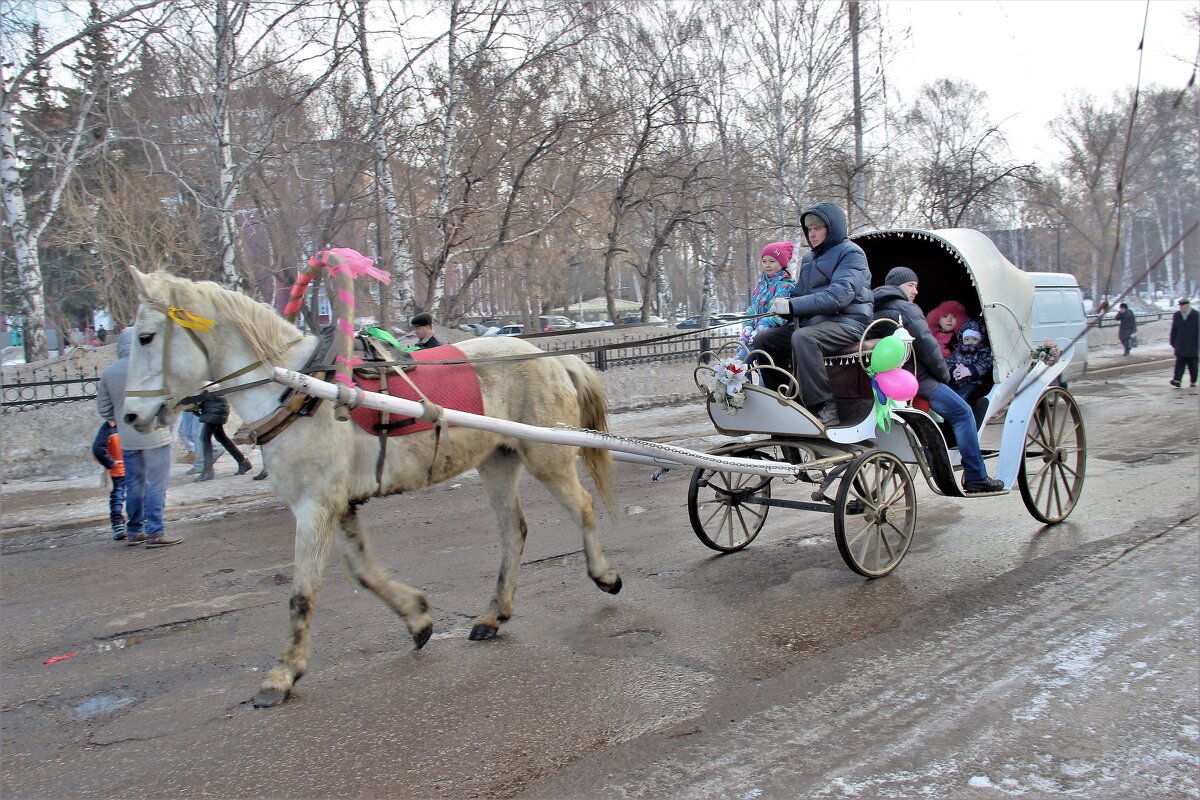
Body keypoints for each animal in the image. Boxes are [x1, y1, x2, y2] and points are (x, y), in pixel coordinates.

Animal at [123, 268, 624, 705]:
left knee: (582, 505)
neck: (302, 390)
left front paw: (283, 672)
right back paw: (493, 613)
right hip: (498, 461)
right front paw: (417, 617)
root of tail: (556, 359)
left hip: (546, 455)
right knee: (513, 531)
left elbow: (302, 592)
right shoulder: (338, 505)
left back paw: (604, 574)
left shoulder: (315, 506)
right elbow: (365, 573)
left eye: (146, 336)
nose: (129, 417)